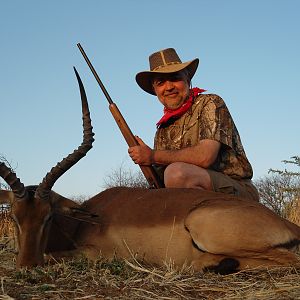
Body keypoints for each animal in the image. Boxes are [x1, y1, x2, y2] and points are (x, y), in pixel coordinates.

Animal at [0, 70, 300, 274]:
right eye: (14, 216)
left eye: (48, 216)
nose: (27, 265)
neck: (82, 223)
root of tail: (289, 225)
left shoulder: (95, 253)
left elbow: (53, 256)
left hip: (204, 227)